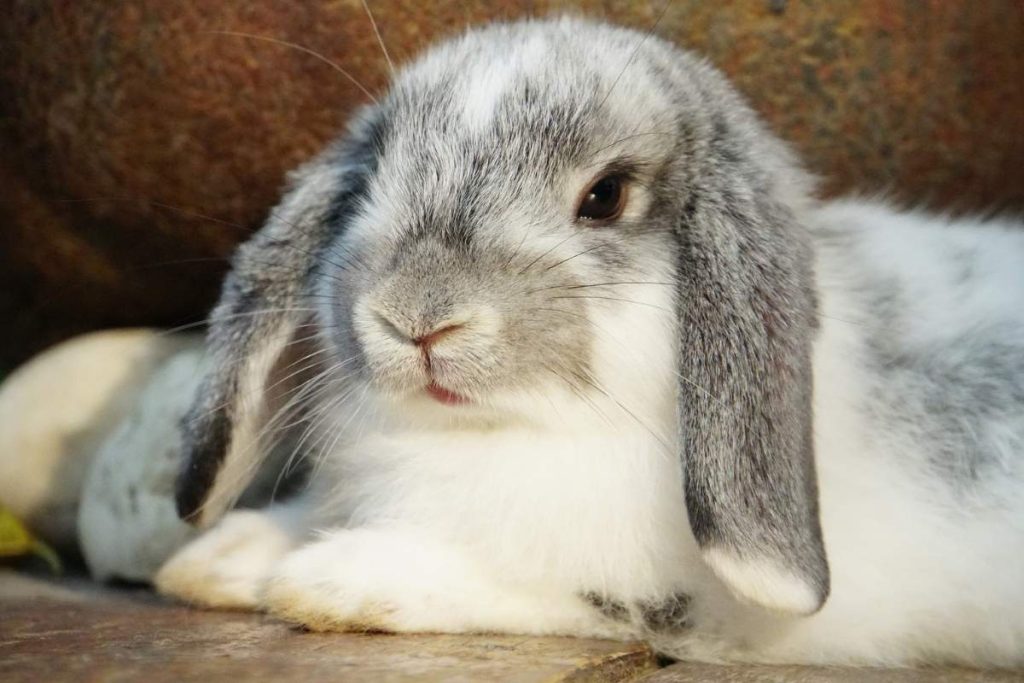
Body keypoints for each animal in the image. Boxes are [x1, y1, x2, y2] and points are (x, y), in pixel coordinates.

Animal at [153, 17, 1024, 667]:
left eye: (604, 197)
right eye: (369, 181)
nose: (416, 317)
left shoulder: (669, 596)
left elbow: (540, 583)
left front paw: (330, 579)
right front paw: (219, 560)